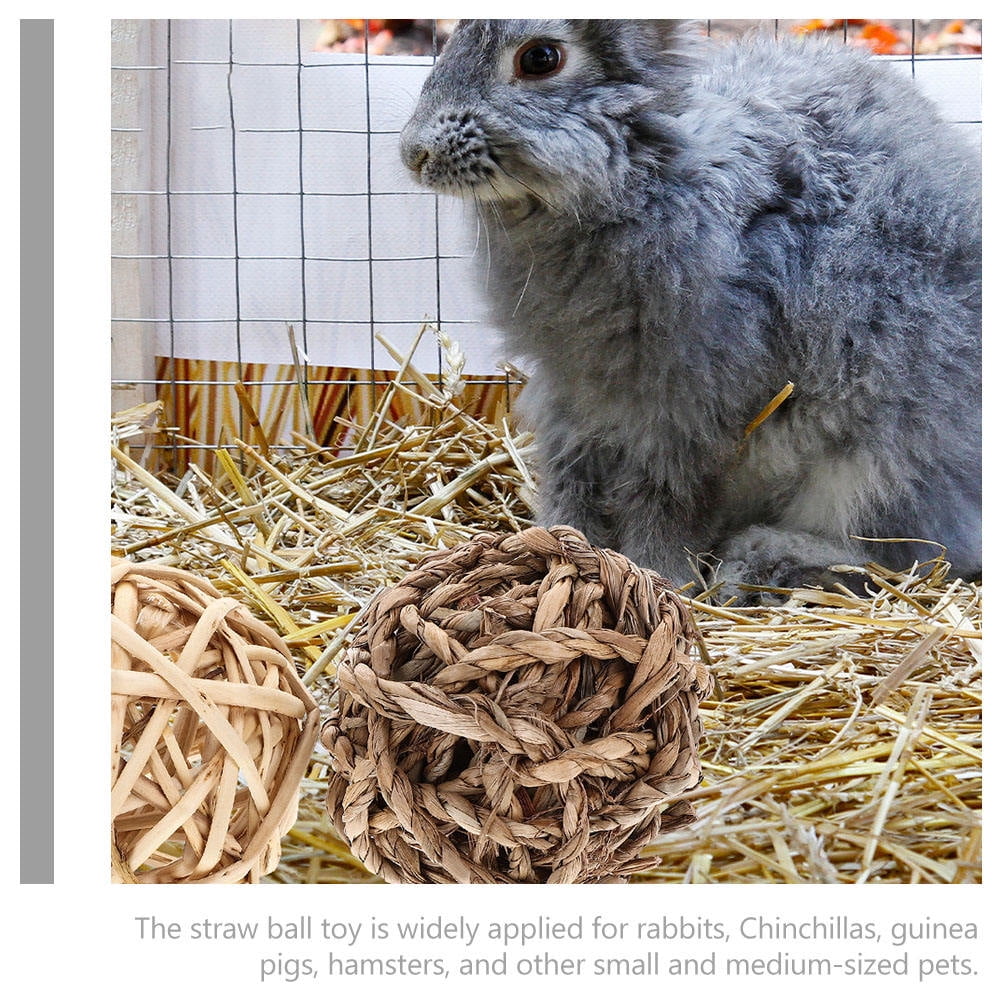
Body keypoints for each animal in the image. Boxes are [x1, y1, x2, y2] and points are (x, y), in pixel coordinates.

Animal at [399, 20, 981, 601]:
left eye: (540, 58)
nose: (413, 154)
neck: (644, 171)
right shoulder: (572, 394)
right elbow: (574, 476)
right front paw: (560, 544)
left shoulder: (686, 406)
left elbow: (668, 494)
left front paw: (660, 576)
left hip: (881, 460)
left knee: (899, 551)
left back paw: (762, 564)